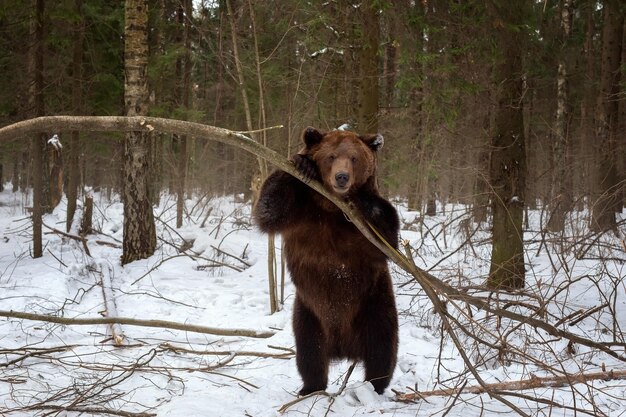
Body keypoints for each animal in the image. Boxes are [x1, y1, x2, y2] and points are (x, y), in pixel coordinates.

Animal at [251, 128, 398, 394]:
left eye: (354, 158)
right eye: (331, 156)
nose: (341, 177)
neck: (331, 207)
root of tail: (344, 348)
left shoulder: (364, 230)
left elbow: (388, 239)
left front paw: (361, 197)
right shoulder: (300, 210)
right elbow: (269, 209)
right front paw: (303, 164)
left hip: (375, 302)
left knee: (382, 348)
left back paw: (375, 386)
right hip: (309, 314)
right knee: (310, 353)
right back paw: (311, 387)